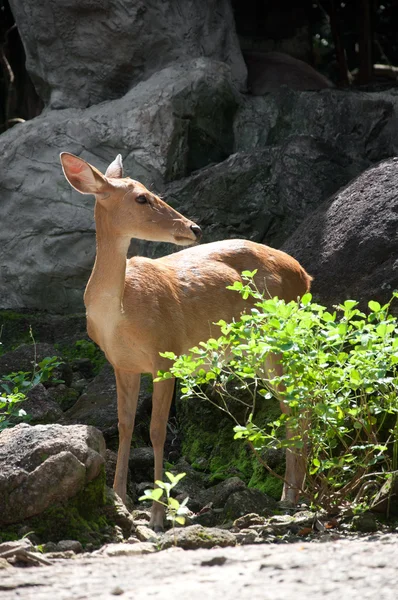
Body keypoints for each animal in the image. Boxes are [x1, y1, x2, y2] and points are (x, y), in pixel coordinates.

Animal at [60, 152, 312, 532]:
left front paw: (157, 515)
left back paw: (294, 498)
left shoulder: (166, 352)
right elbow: (124, 426)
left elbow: (156, 431)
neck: (121, 311)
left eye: (152, 192)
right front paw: (119, 500)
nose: (195, 228)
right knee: (294, 405)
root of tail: (305, 275)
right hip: (259, 351)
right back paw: (292, 495)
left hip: (279, 337)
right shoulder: (121, 363)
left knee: (299, 405)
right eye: (141, 198)